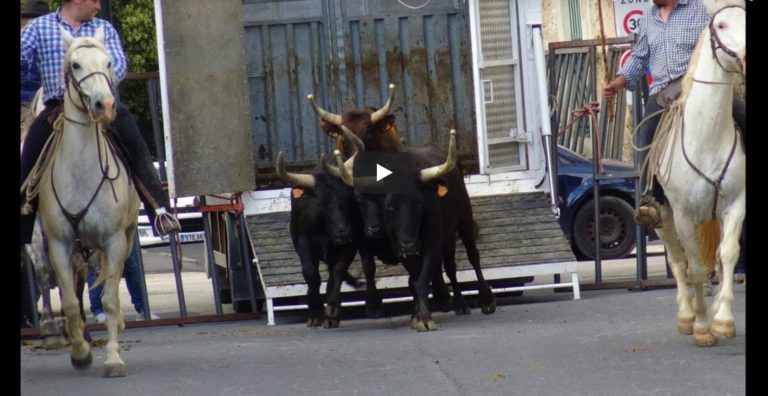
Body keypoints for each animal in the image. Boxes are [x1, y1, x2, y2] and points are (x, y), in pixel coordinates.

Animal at [27, 27, 140, 374]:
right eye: (75, 65)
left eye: (108, 62)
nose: (105, 105)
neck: (81, 170)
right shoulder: (58, 244)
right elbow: (69, 301)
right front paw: (79, 351)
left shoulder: (114, 240)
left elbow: (110, 300)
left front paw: (113, 358)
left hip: (124, 238)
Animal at [652, 0, 748, 346]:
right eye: (720, 25)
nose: (746, 56)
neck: (706, 137)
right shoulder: (682, 215)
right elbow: (693, 266)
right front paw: (702, 327)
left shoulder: (735, 203)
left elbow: (728, 255)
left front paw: (723, 321)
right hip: (663, 219)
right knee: (678, 261)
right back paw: (686, 315)